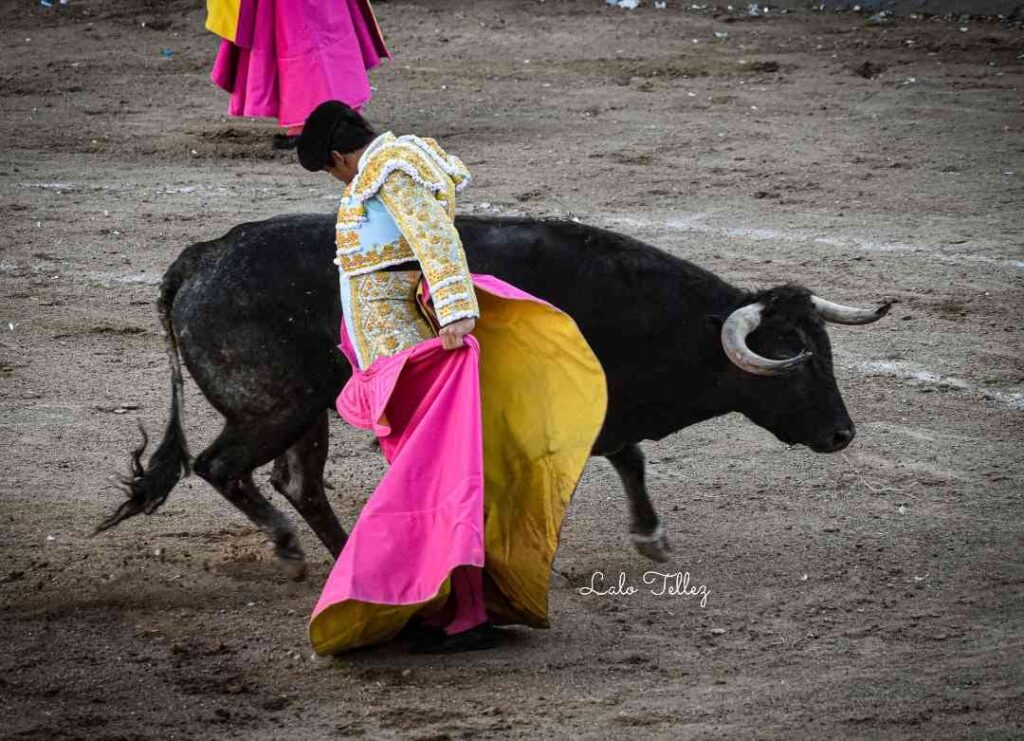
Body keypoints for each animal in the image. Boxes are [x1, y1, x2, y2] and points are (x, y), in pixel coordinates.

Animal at [99, 210, 892, 577]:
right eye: (799, 364)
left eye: (826, 355)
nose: (843, 434)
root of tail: (199, 258)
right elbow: (625, 456)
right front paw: (643, 535)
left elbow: (627, 455)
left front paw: (649, 534)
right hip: (276, 403)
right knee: (224, 467)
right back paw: (294, 550)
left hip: (305, 406)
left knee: (298, 479)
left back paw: (352, 550)